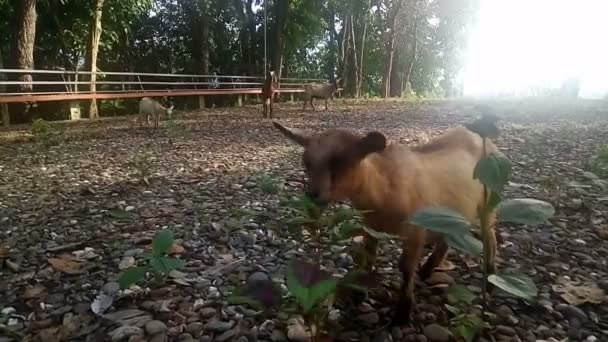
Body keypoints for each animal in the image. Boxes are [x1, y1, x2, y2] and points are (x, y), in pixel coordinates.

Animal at [274, 121, 498, 324]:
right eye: (306, 163)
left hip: (489, 203)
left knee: (490, 236)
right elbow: (368, 257)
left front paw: (402, 313)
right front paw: (358, 293)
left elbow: (406, 268)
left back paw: (490, 275)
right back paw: (427, 270)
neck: (385, 190)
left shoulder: (416, 232)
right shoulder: (371, 227)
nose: (312, 195)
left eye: (342, 161)